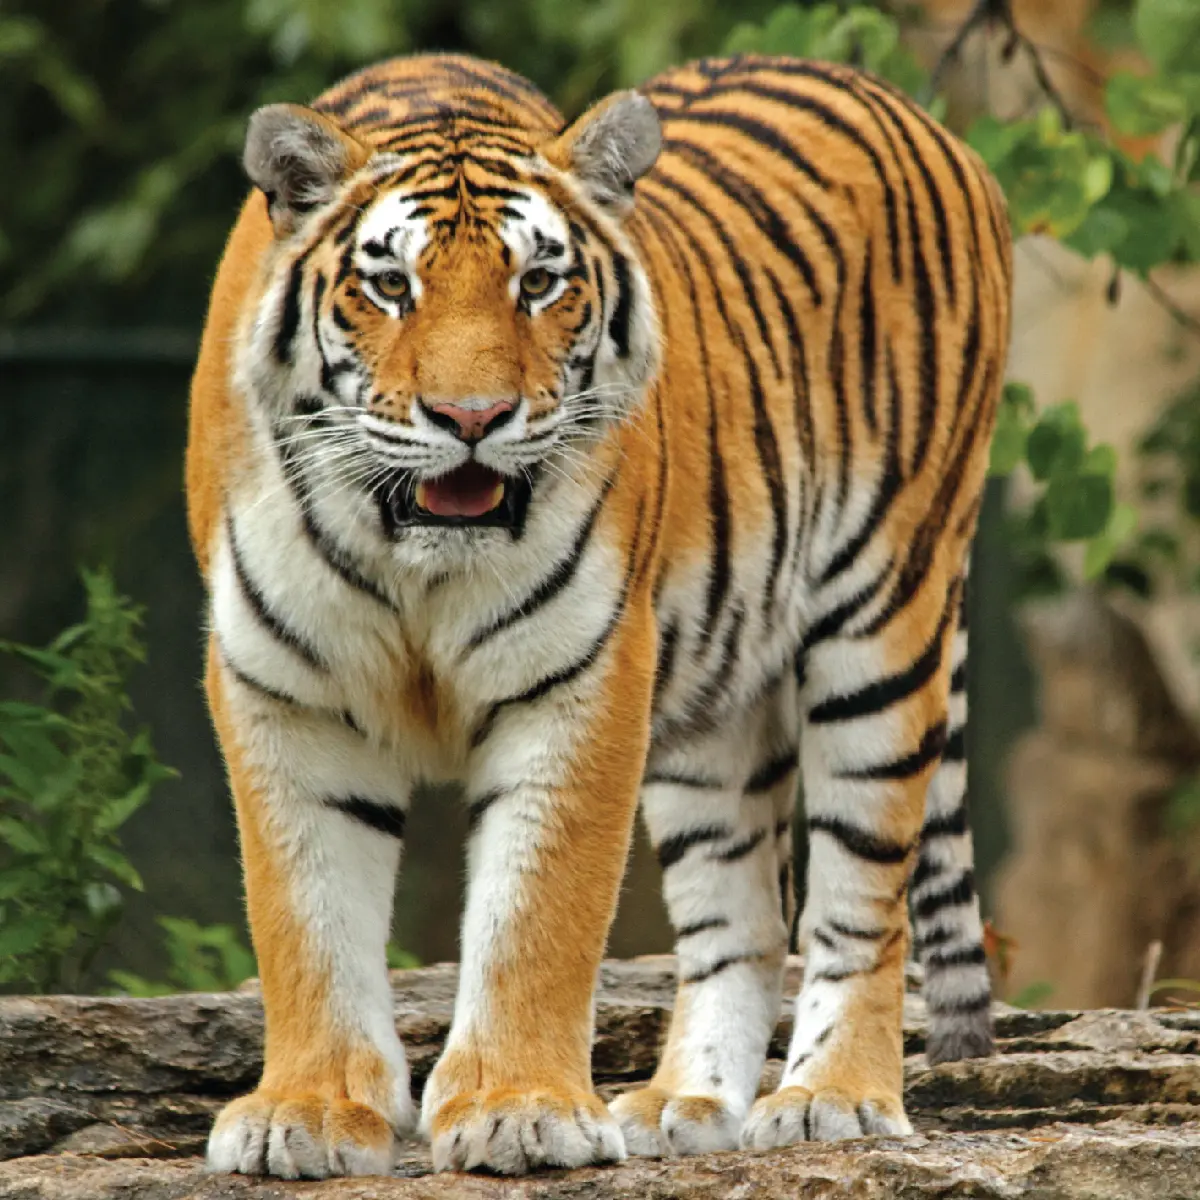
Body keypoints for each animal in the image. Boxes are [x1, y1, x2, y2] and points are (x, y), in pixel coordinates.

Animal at [186, 51, 1012, 1178]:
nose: (473, 420)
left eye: (539, 283)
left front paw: (517, 1110)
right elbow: (303, 915)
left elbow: (539, 912)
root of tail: (915, 114)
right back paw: (683, 1104)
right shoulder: (282, 689)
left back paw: (832, 1098)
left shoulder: (582, 676)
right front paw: (306, 1114)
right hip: (714, 706)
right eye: (390, 285)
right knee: (743, 915)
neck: (415, 561)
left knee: (859, 899)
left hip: (884, 620)